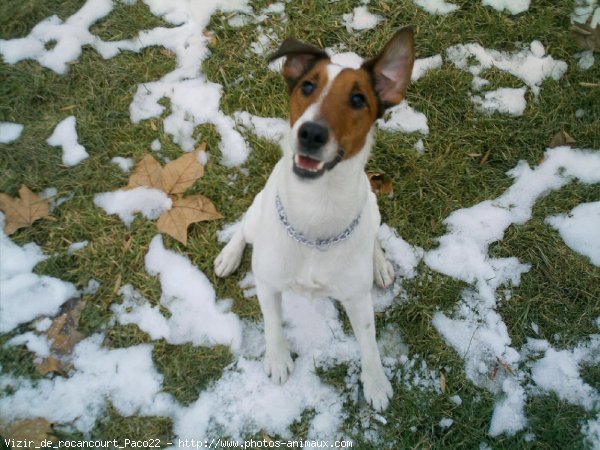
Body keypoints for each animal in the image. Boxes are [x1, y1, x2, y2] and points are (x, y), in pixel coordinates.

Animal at [213, 28, 414, 414]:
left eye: (358, 99)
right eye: (307, 86)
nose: (311, 133)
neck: (316, 211)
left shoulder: (357, 299)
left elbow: (369, 342)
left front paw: (376, 383)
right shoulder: (269, 283)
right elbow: (272, 323)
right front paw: (278, 360)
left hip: (372, 205)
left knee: (373, 236)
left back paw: (380, 264)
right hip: (258, 208)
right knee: (244, 229)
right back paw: (229, 255)